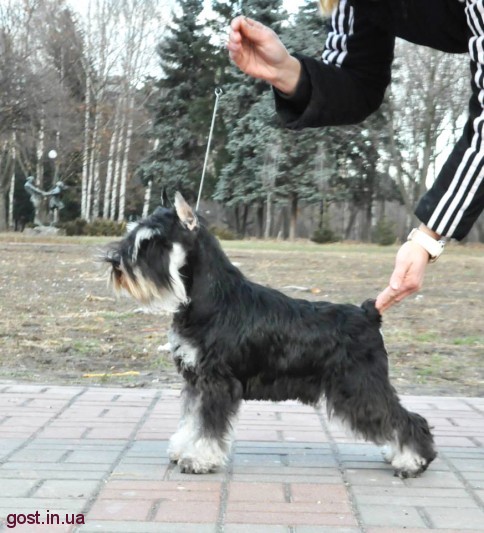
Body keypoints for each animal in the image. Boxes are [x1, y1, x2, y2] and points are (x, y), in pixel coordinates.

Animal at [104, 192, 436, 478]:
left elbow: (207, 426)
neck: (211, 299)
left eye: (153, 241)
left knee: (406, 419)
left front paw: (199, 459)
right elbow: (191, 420)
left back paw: (413, 461)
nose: (115, 262)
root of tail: (369, 313)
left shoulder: (216, 382)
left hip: (359, 386)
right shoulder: (195, 380)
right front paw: (182, 449)